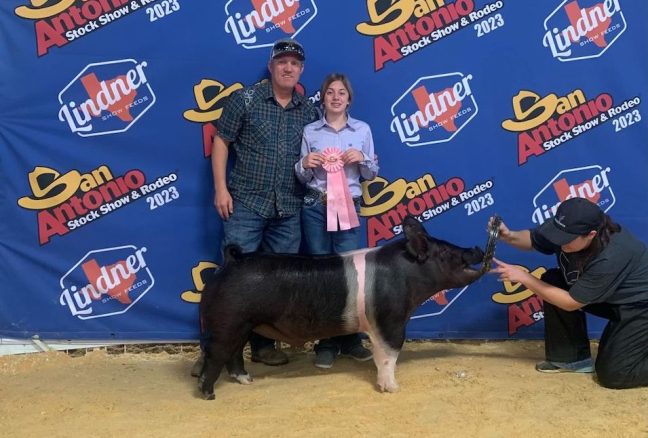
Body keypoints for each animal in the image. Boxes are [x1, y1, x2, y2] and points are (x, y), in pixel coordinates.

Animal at [197, 216, 486, 400]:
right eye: (446, 253)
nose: (476, 248)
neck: (407, 275)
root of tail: (231, 261)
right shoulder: (390, 320)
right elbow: (389, 356)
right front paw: (393, 389)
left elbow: (381, 356)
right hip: (228, 321)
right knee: (216, 354)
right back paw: (208, 394)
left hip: (243, 325)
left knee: (234, 354)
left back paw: (246, 380)